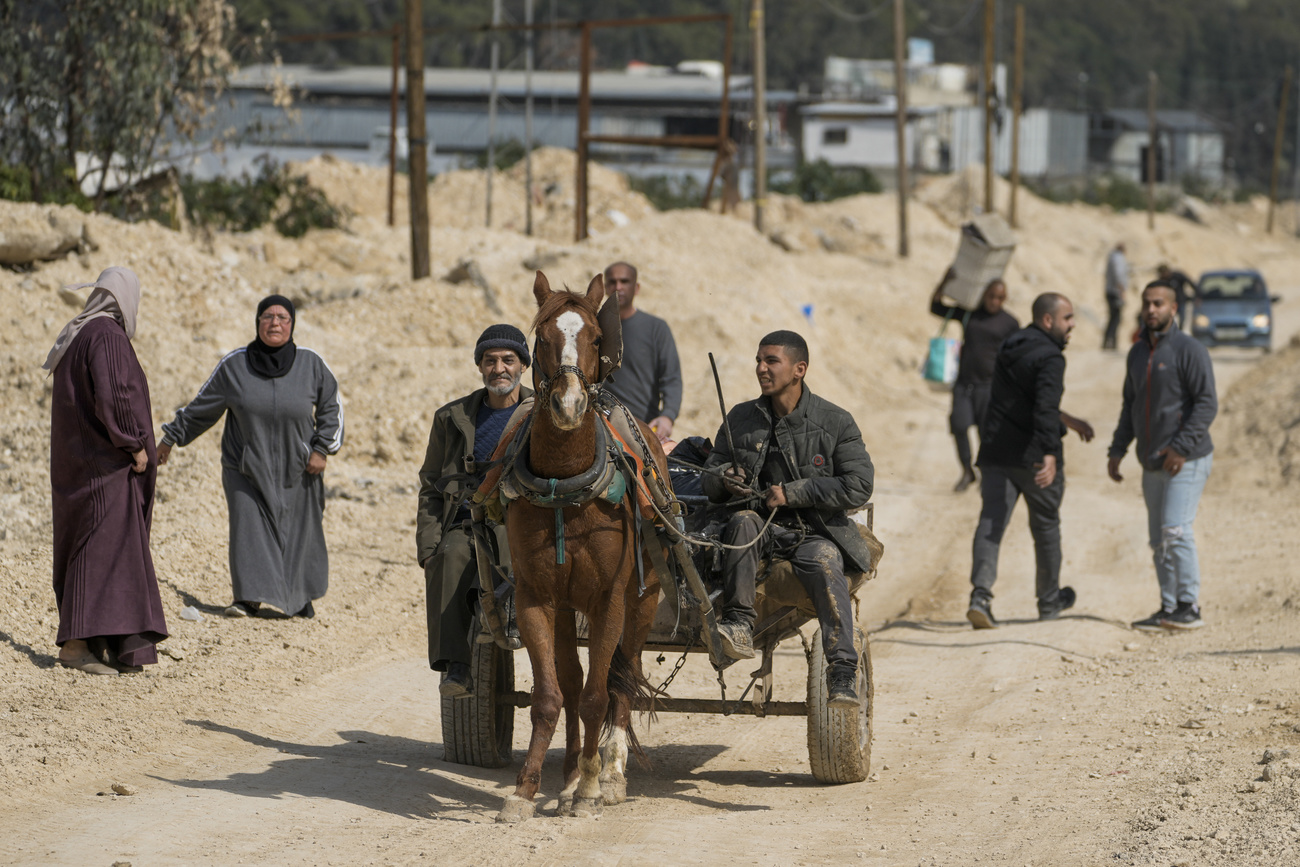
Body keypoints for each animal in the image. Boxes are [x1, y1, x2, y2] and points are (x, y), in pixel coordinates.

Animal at [496, 269, 670, 821]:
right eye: (541, 338)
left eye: (596, 338)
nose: (569, 405)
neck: (564, 488)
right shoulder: (537, 597)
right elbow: (552, 696)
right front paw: (526, 789)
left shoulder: (609, 599)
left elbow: (599, 694)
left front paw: (592, 787)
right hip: (566, 607)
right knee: (573, 682)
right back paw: (572, 772)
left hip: (644, 600)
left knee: (623, 676)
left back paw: (607, 772)